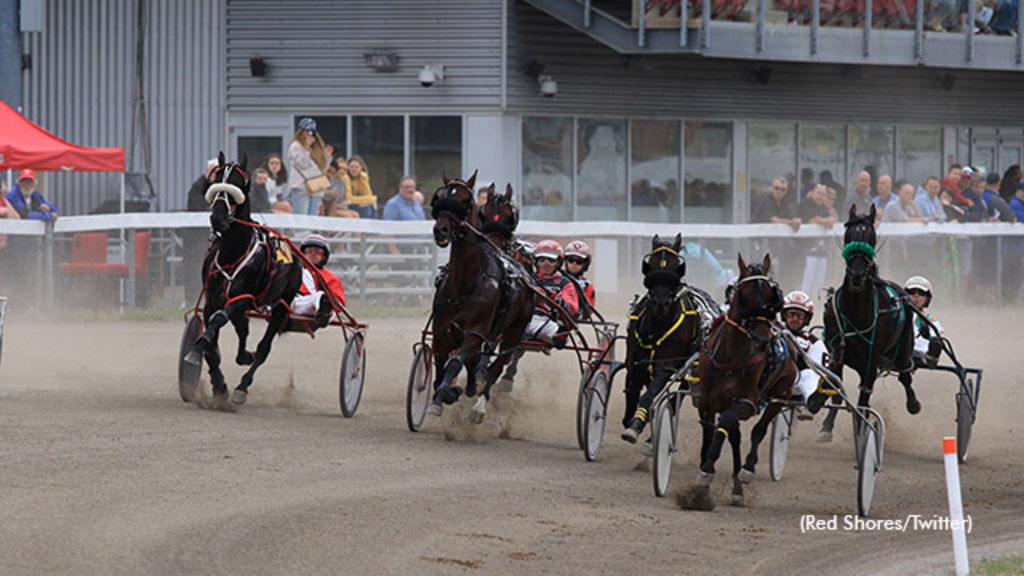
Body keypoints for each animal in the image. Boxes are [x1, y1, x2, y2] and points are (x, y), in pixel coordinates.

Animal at [183, 150, 301, 405]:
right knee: (243, 330)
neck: (233, 252)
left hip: (281, 305)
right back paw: (244, 356)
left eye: (238, 183)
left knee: (264, 348)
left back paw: (242, 387)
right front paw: (218, 385)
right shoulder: (214, 299)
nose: (217, 218)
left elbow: (217, 321)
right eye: (215, 180)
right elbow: (211, 338)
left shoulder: (241, 298)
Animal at [425, 171, 532, 422]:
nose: (441, 230)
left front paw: (446, 395)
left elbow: (455, 364)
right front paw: (446, 392)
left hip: (514, 333)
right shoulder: (441, 331)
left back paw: (479, 405)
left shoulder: (474, 333)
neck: (464, 284)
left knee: (499, 366)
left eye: (466, 201)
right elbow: (441, 364)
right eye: (440, 198)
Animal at [618, 233, 708, 444]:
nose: (661, 302)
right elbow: (633, 388)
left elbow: (651, 393)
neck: (658, 326)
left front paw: (636, 424)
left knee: (681, 391)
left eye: (677, 267)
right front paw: (630, 419)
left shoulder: (666, 365)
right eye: (650, 265)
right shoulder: (634, 360)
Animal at [696, 251, 798, 502]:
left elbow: (726, 425)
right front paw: (701, 487)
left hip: (782, 393)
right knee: (736, 437)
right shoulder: (707, 402)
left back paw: (746, 471)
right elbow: (710, 433)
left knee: (758, 430)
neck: (727, 357)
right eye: (742, 296)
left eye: (772, 295)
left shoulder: (745, 402)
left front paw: (708, 470)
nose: (763, 340)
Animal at [811, 203, 917, 436]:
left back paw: (913, 404)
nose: (857, 275)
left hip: (902, 348)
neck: (856, 313)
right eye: (849, 233)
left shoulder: (871, 360)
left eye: (871, 236)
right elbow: (835, 386)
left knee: (905, 375)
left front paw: (862, 429)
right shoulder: (836, 350)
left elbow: (863, 398)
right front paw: (825, 421)